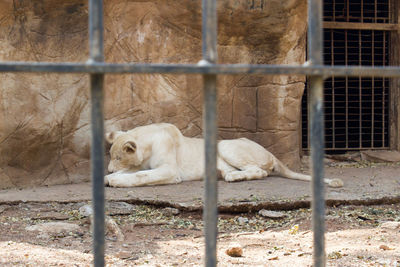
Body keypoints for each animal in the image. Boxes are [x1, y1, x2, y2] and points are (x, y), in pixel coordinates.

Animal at [104, 123, 344, 188]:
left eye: (118, 157)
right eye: (111, 156)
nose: (109, 167)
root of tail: (271, 154)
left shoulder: (170, 170)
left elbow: (141, 176)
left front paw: (115, 181)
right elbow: (135, 172)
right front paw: (110, 177)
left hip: (226, 146)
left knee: (259, 172)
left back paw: (233, 177)